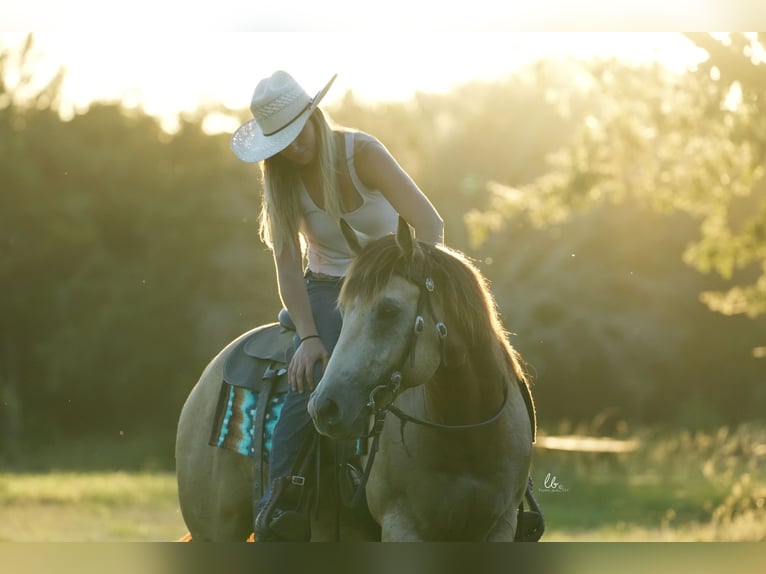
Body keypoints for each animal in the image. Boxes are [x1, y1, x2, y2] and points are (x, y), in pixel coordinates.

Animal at [177, 218, 544, 544]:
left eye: (388, 310)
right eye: (342, 312)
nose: (324, 407)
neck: (467, 437)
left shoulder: (499, 527)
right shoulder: (402, 526)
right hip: (217, 531)